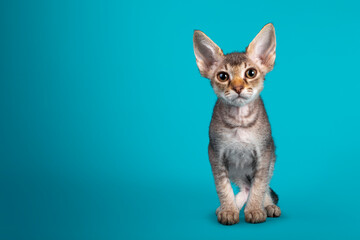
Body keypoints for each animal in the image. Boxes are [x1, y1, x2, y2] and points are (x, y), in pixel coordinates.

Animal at [194, 23, 282, 224]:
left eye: (251, 73)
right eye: (223, 76)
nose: (238, 88)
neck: (239, 122)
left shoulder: (264, 154)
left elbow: (260, 185)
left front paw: (255, 210)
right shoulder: (216, 154)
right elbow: (222, 186)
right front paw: (228, 210)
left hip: (270, 160)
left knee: (260, 185)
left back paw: (268, 206)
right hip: (236, 169)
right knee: (245, 187)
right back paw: (231, 205)